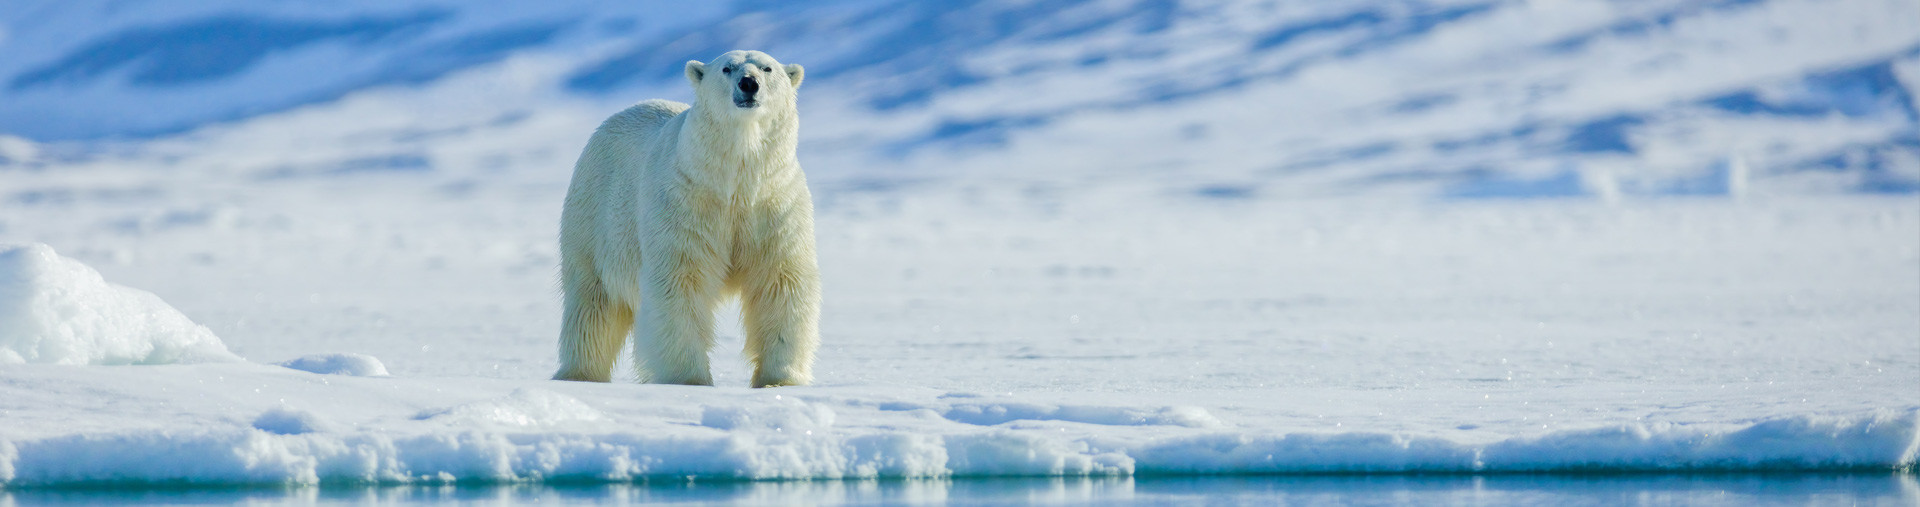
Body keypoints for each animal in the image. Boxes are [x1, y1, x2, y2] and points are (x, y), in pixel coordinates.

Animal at [556, 50, 825, 387]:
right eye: (727, 68)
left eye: (767, 68)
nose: (749, 84)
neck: (734, 184)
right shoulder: (686, 204)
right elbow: (680, 280)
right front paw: (688, 378)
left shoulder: (773, 205)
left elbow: (780, 281)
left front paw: (780, 378)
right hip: (594, 216)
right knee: (593, 303)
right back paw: (580, 373)